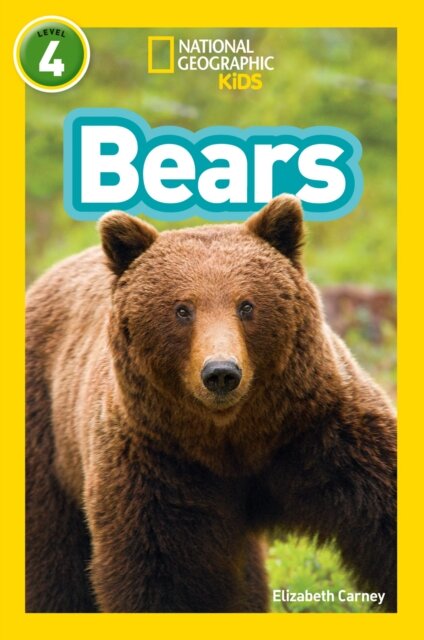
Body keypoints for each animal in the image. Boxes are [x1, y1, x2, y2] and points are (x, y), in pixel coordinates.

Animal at [25, 195, 397, 613]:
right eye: (182, 309)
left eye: (246, 305)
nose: (221, 372)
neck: (231, 438)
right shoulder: (157, 466)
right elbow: (159, 576)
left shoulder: (323, 432)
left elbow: (383, 513)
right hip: (44, 437)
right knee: (52, 556)